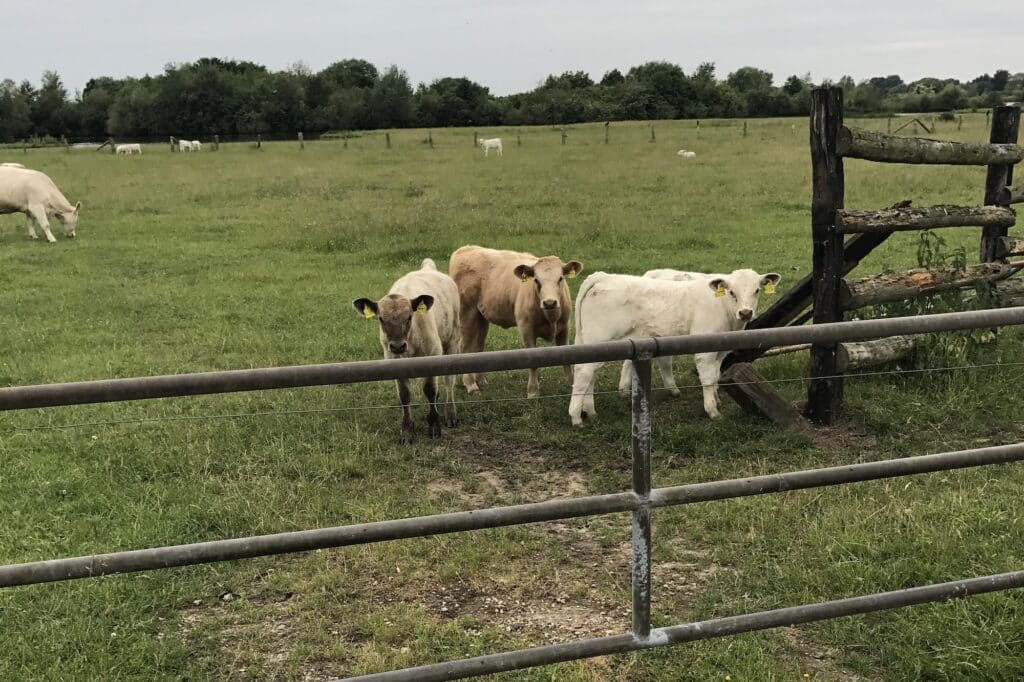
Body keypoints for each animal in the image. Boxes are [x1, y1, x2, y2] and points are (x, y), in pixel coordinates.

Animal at [353, 258, 461, 442]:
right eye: (381, 319)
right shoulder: (392, 360)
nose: (398, 346)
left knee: (449, 381)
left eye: (409, 316)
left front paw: (434, 425)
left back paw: (450, 414)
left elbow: (430, 390)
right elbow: (404, 395)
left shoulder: (433, 354)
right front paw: (407, 430)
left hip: (452, 340)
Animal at [449, 245, 582, 398]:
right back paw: (471, 385)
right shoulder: (526, 329)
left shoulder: (564, 327)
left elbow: (567, 356)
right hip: (466, 313)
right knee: (464, 347)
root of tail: (466, 249)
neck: (551, 317)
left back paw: (481, 380)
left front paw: (573, 386)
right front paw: (533, 392)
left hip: (481, 317)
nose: (549, 303)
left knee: (478, 346)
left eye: (560, 279)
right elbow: (533, 362)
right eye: (536, 280)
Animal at [568, 269, 781, 425]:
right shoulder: (705, 350)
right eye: (731, 292)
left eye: (757, 290)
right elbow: (707, 379)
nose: (745, 312)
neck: (723, 308)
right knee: (583, 372)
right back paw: (576, 416)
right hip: (599, 337)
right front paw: (712, 410)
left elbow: (715, 376)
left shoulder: (720, 351)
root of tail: (602, 276)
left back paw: (590, 410)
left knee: (590, 374)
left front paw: (716, 401)